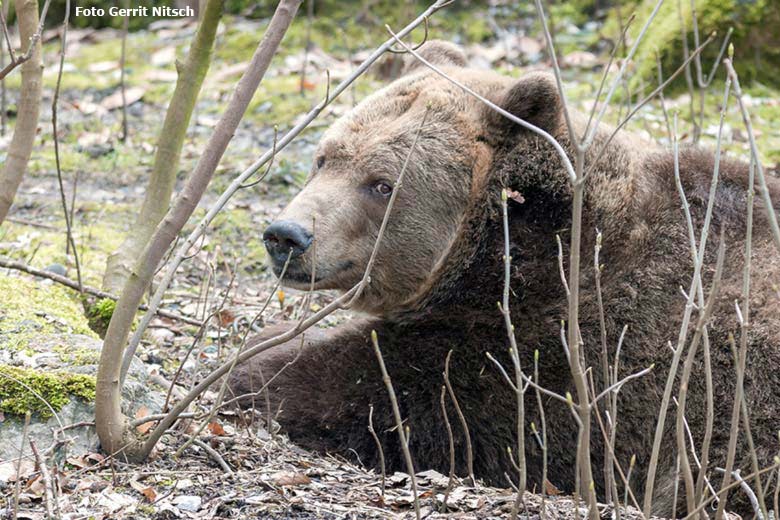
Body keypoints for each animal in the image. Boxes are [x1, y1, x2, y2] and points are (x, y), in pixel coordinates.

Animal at [229, 41, 780, 516]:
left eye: (382, 184)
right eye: (325, 158)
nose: (286, 235)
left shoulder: (558, 349)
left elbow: (390, 390)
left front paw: (255, 369)